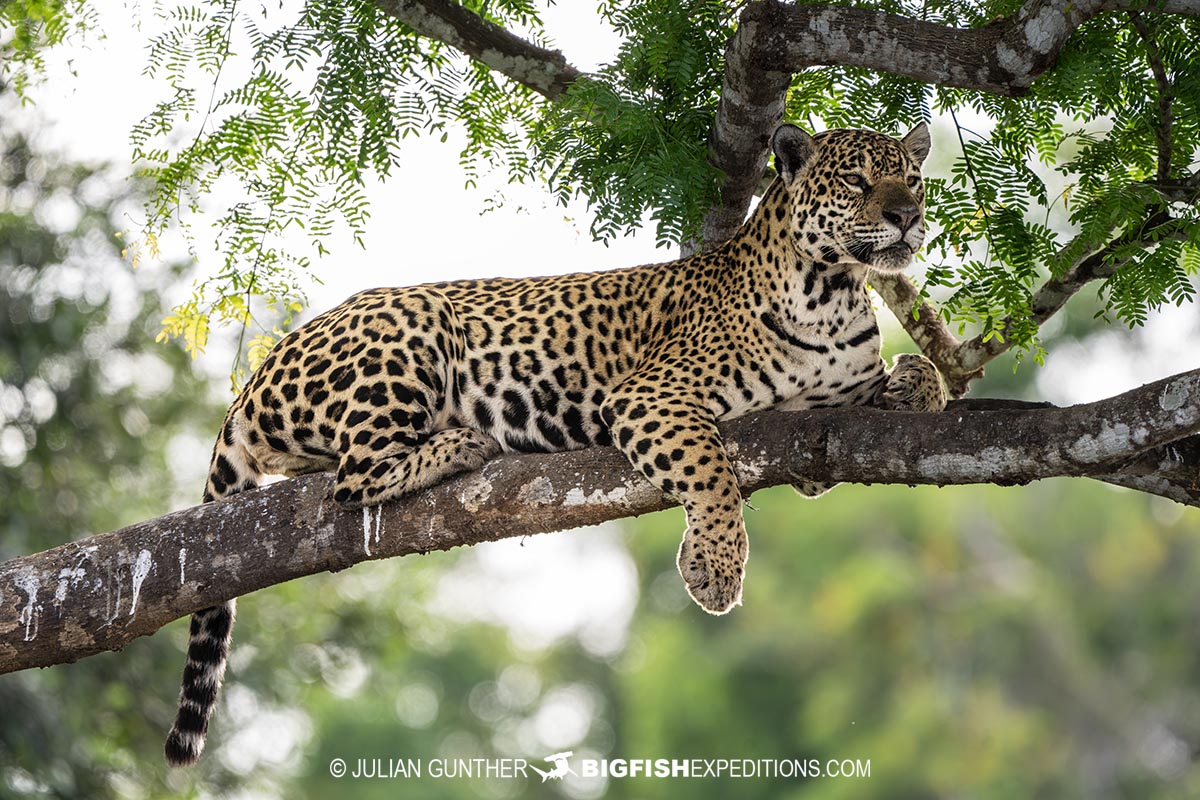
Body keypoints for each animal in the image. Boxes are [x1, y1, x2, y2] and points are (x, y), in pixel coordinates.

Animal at [165, 123, 948, 766]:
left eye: (911, 179)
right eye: (857, 181)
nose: (907, 217)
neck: (836, 292)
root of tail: (257, 369)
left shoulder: (827, 411)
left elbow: (919, 373)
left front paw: (920, 387)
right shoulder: (651, 395)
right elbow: (711, 469)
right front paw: (716, 566)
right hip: (415, 318)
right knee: (352, 477)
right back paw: (462, 442)